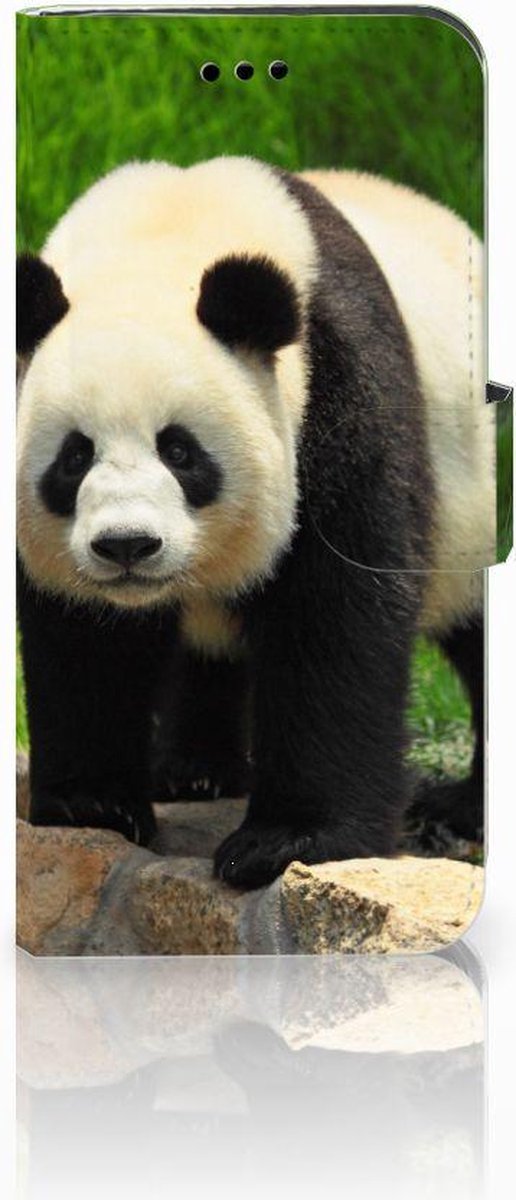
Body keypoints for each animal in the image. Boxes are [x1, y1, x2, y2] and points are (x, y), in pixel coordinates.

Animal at [16, 156, 494, 888]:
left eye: (180, 451)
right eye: (74, 457)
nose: (127, 546)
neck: (165, 235)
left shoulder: (339, 389)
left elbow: (335, 614)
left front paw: (290, 841)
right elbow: (83, 638)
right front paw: (91, 804)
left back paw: (463, 808)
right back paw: (193, 772)